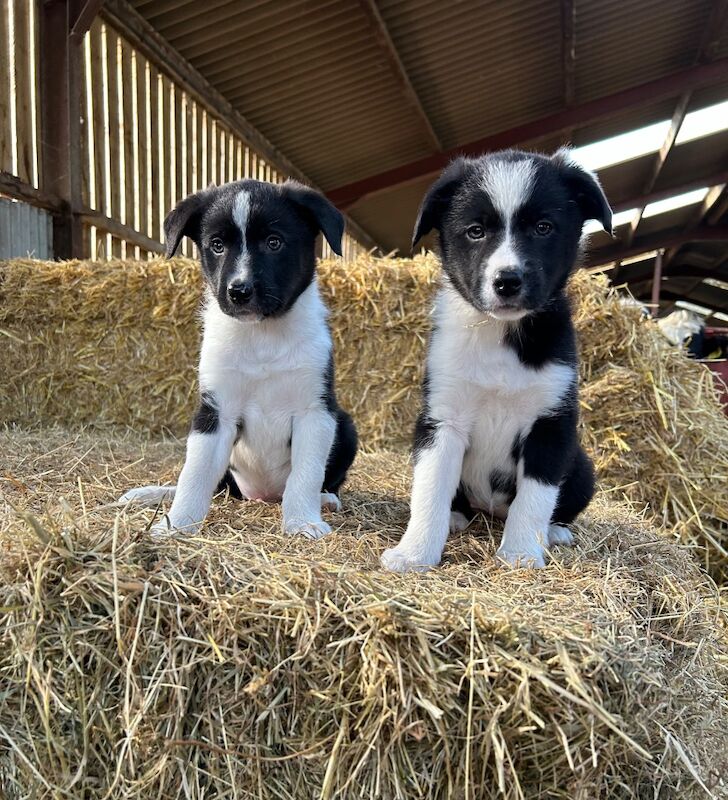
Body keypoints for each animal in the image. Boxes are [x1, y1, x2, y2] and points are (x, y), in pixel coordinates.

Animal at [119, 179, 358, 540]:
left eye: (274, 242)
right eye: (217, 245)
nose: (239, 291)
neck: (261, 336)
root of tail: (262, 495)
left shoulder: (315, 410)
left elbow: (306, 472)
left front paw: (302, 522)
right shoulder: (215, 411)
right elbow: (195, 473)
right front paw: (178, 523)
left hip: (346, 425)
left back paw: (325, 499)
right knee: (217, 485)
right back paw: (151, 493)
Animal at [382, 148, 616, 576]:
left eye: (543, 227)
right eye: (476, 231)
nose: (507, 281)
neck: (500, 334)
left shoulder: (551, 425)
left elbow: (534, 498)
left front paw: (521, 554)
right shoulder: (443, 418)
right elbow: (430, 490)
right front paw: (415, 553)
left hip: (582, 465)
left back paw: (554, 532)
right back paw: (457, 517)